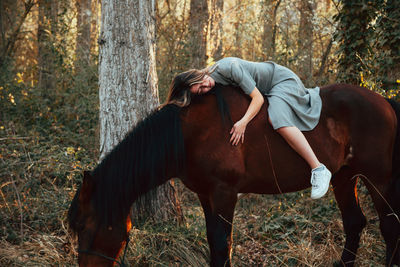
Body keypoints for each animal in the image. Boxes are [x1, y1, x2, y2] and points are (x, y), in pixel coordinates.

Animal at [67, 83, 398, 266]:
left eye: (83, 226)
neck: (190, 133)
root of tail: (384, 101)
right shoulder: (205, 195)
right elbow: (214, 241)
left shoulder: (225, 193)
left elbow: (222, 243)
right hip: (344, 177)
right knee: (354, 223)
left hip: (379, 179)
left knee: (389, 225)